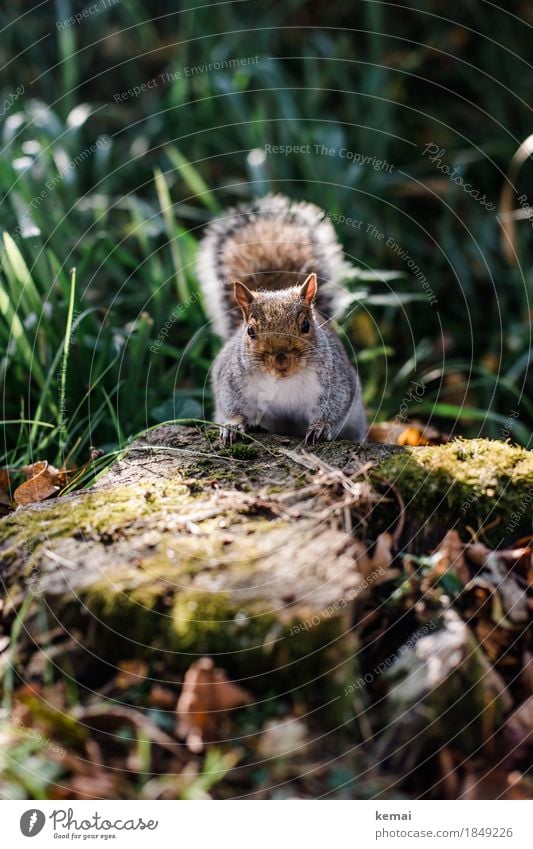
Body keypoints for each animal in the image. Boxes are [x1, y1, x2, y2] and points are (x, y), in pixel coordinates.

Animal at [195, 192, 366, 444]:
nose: (281, 361)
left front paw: (320, 427)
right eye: (250, 331)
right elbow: (231, 405)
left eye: (305, 325)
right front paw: (233, 426)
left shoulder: (335, 382)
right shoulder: (231, 380)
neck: (281, 382)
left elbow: (335, 407)